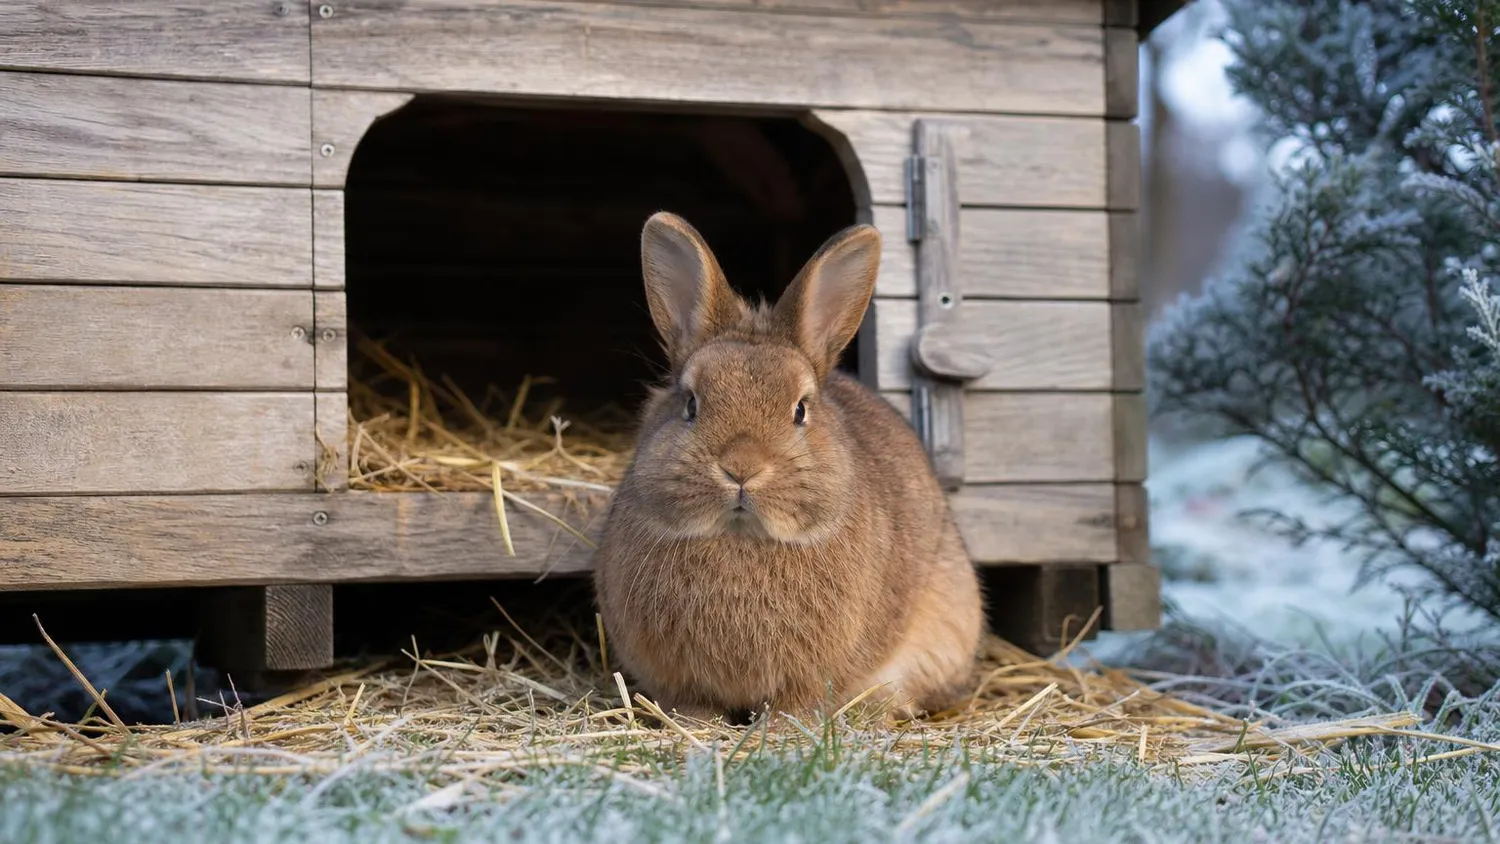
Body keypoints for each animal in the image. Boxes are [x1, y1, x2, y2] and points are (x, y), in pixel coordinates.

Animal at [592, 211, 985, 723]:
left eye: (800, 409)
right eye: (690, 403)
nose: (741, 468)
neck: (741, 538)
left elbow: (795, 703)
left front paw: (781, 728)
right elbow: (695, 705)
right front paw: (695, 722)